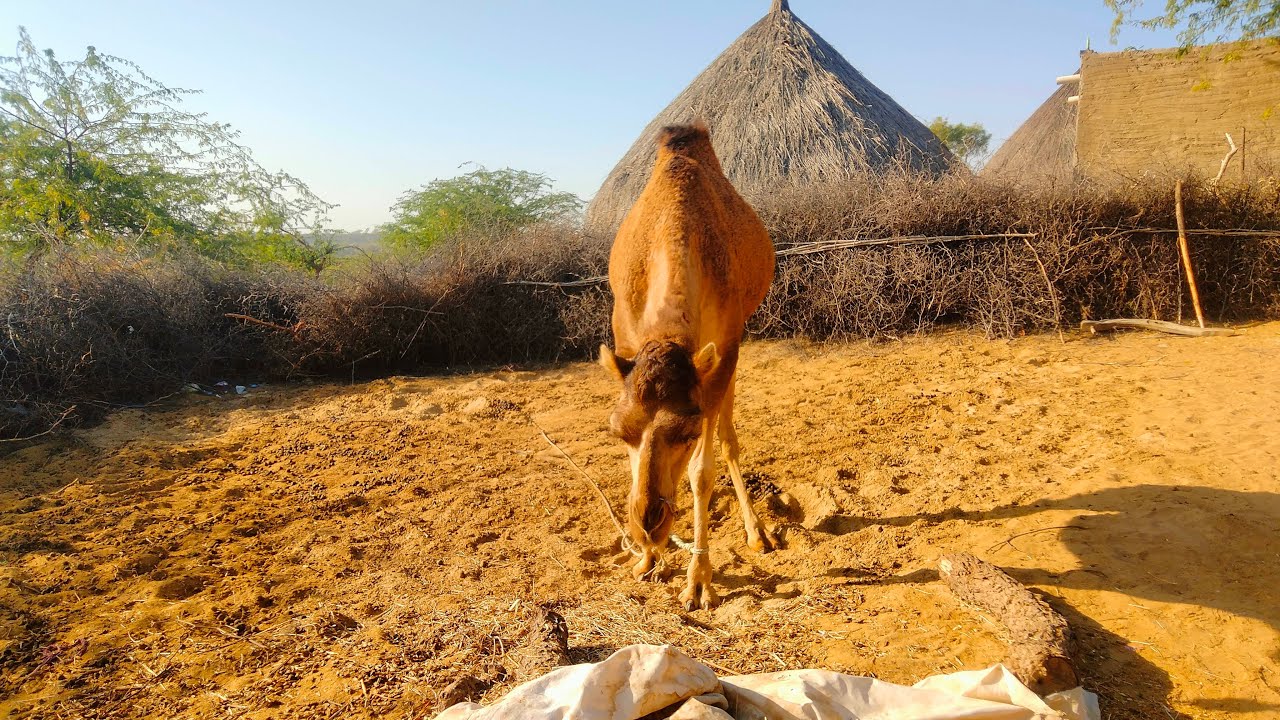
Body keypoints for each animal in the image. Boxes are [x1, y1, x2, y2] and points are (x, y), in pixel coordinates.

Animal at [598, 123, 777, 611]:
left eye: (688, 431)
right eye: (616, 431)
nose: (648, 526)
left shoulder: (722, 353)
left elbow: (701, 472)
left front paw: (698, 582)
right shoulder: (627, 343)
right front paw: (646, 561)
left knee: (730, 440)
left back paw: (758, 533)